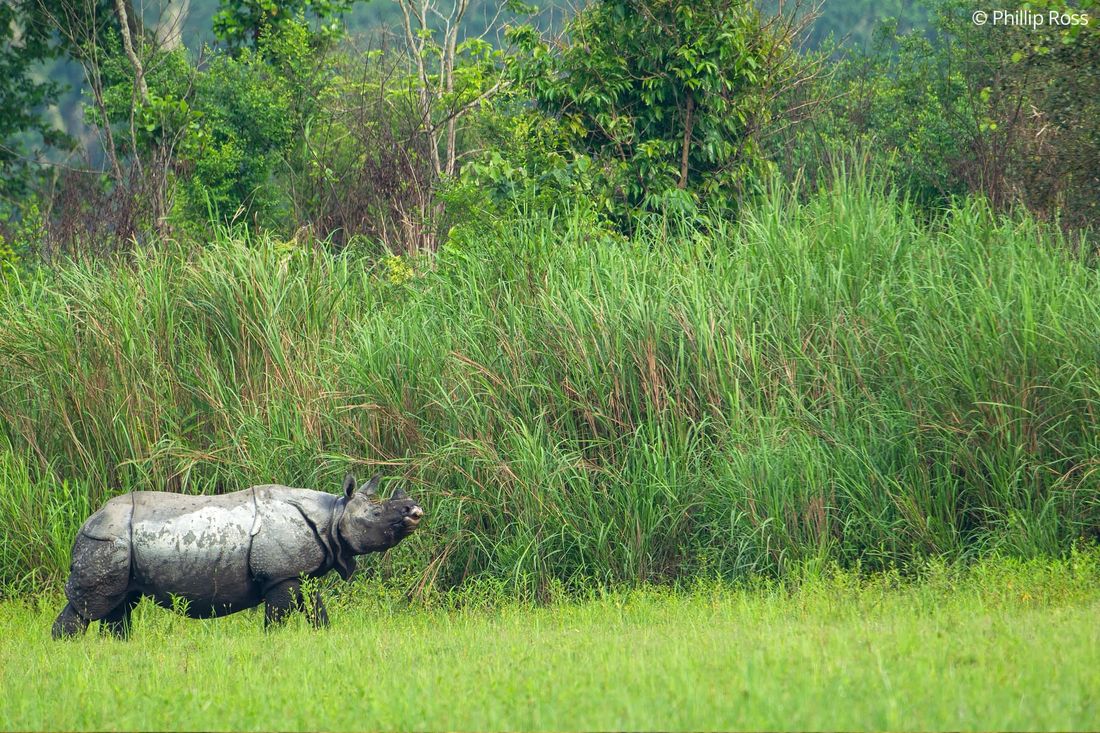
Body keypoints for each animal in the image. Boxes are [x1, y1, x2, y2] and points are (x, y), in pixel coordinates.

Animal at [52, 474, 422, 639]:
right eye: (376, 515)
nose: (415, 511)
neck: (333, 514)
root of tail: (88, 520)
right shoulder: (280, 575)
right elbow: (278, 617)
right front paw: (274, 644)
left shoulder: (295, 572)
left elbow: (315, 610)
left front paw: (323, 636)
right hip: (107, 539)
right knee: (90, 607)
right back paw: (67, 650)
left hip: (121, 546)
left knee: (120, 605)